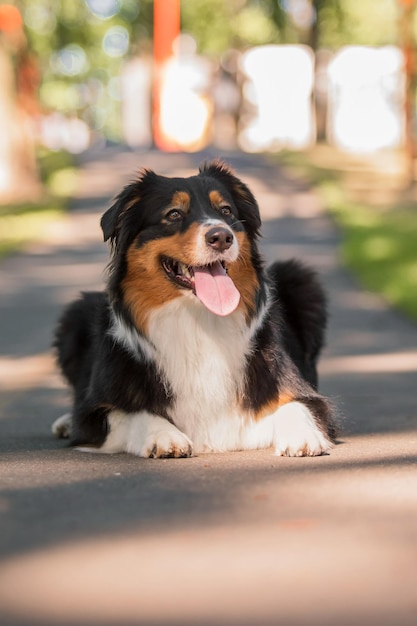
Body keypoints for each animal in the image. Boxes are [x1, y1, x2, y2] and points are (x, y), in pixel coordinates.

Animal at [52, 158, 336, 456]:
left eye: (226, 210)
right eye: (174, 214)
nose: (221, 237)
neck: (197, 321)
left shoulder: (297, 392)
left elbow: (298, 406)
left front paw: (301, 435)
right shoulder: (95, 415)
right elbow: (133, 413)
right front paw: (164, 435)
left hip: (301, 280)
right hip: (74, 314)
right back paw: (65, 422)